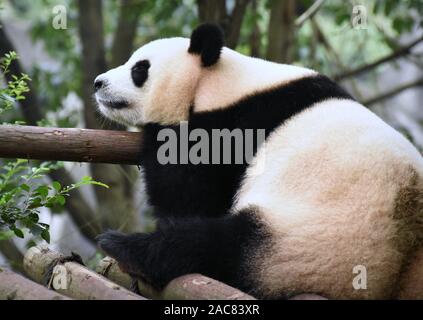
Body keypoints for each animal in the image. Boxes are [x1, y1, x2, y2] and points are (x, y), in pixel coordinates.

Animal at [95, 23, 423, 298]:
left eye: (140, 69)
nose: (98, 83)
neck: (219, 82)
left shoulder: (232, 128)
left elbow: (188, 195)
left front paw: (156, 132)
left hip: (316, 242)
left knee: (219, 245)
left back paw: (126, 249)